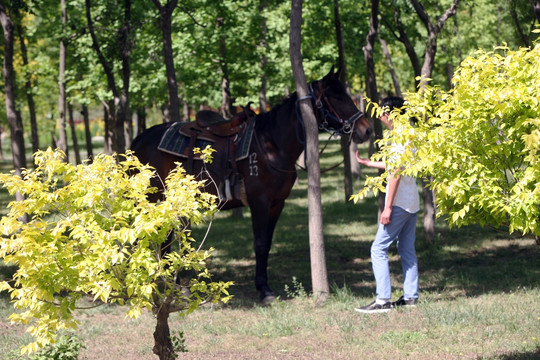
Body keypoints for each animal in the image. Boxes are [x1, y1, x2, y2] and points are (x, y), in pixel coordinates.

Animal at [132, 67, 372, 304]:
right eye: (337, 97)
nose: (367, 130)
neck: (271, 144)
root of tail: (139, 140)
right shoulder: (259, 203)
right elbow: (259, 243)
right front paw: (264, 290)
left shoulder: (277, 204)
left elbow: (267, 244)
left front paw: (264, 286)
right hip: (151, 201)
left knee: (164, 240)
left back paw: (176, 287)